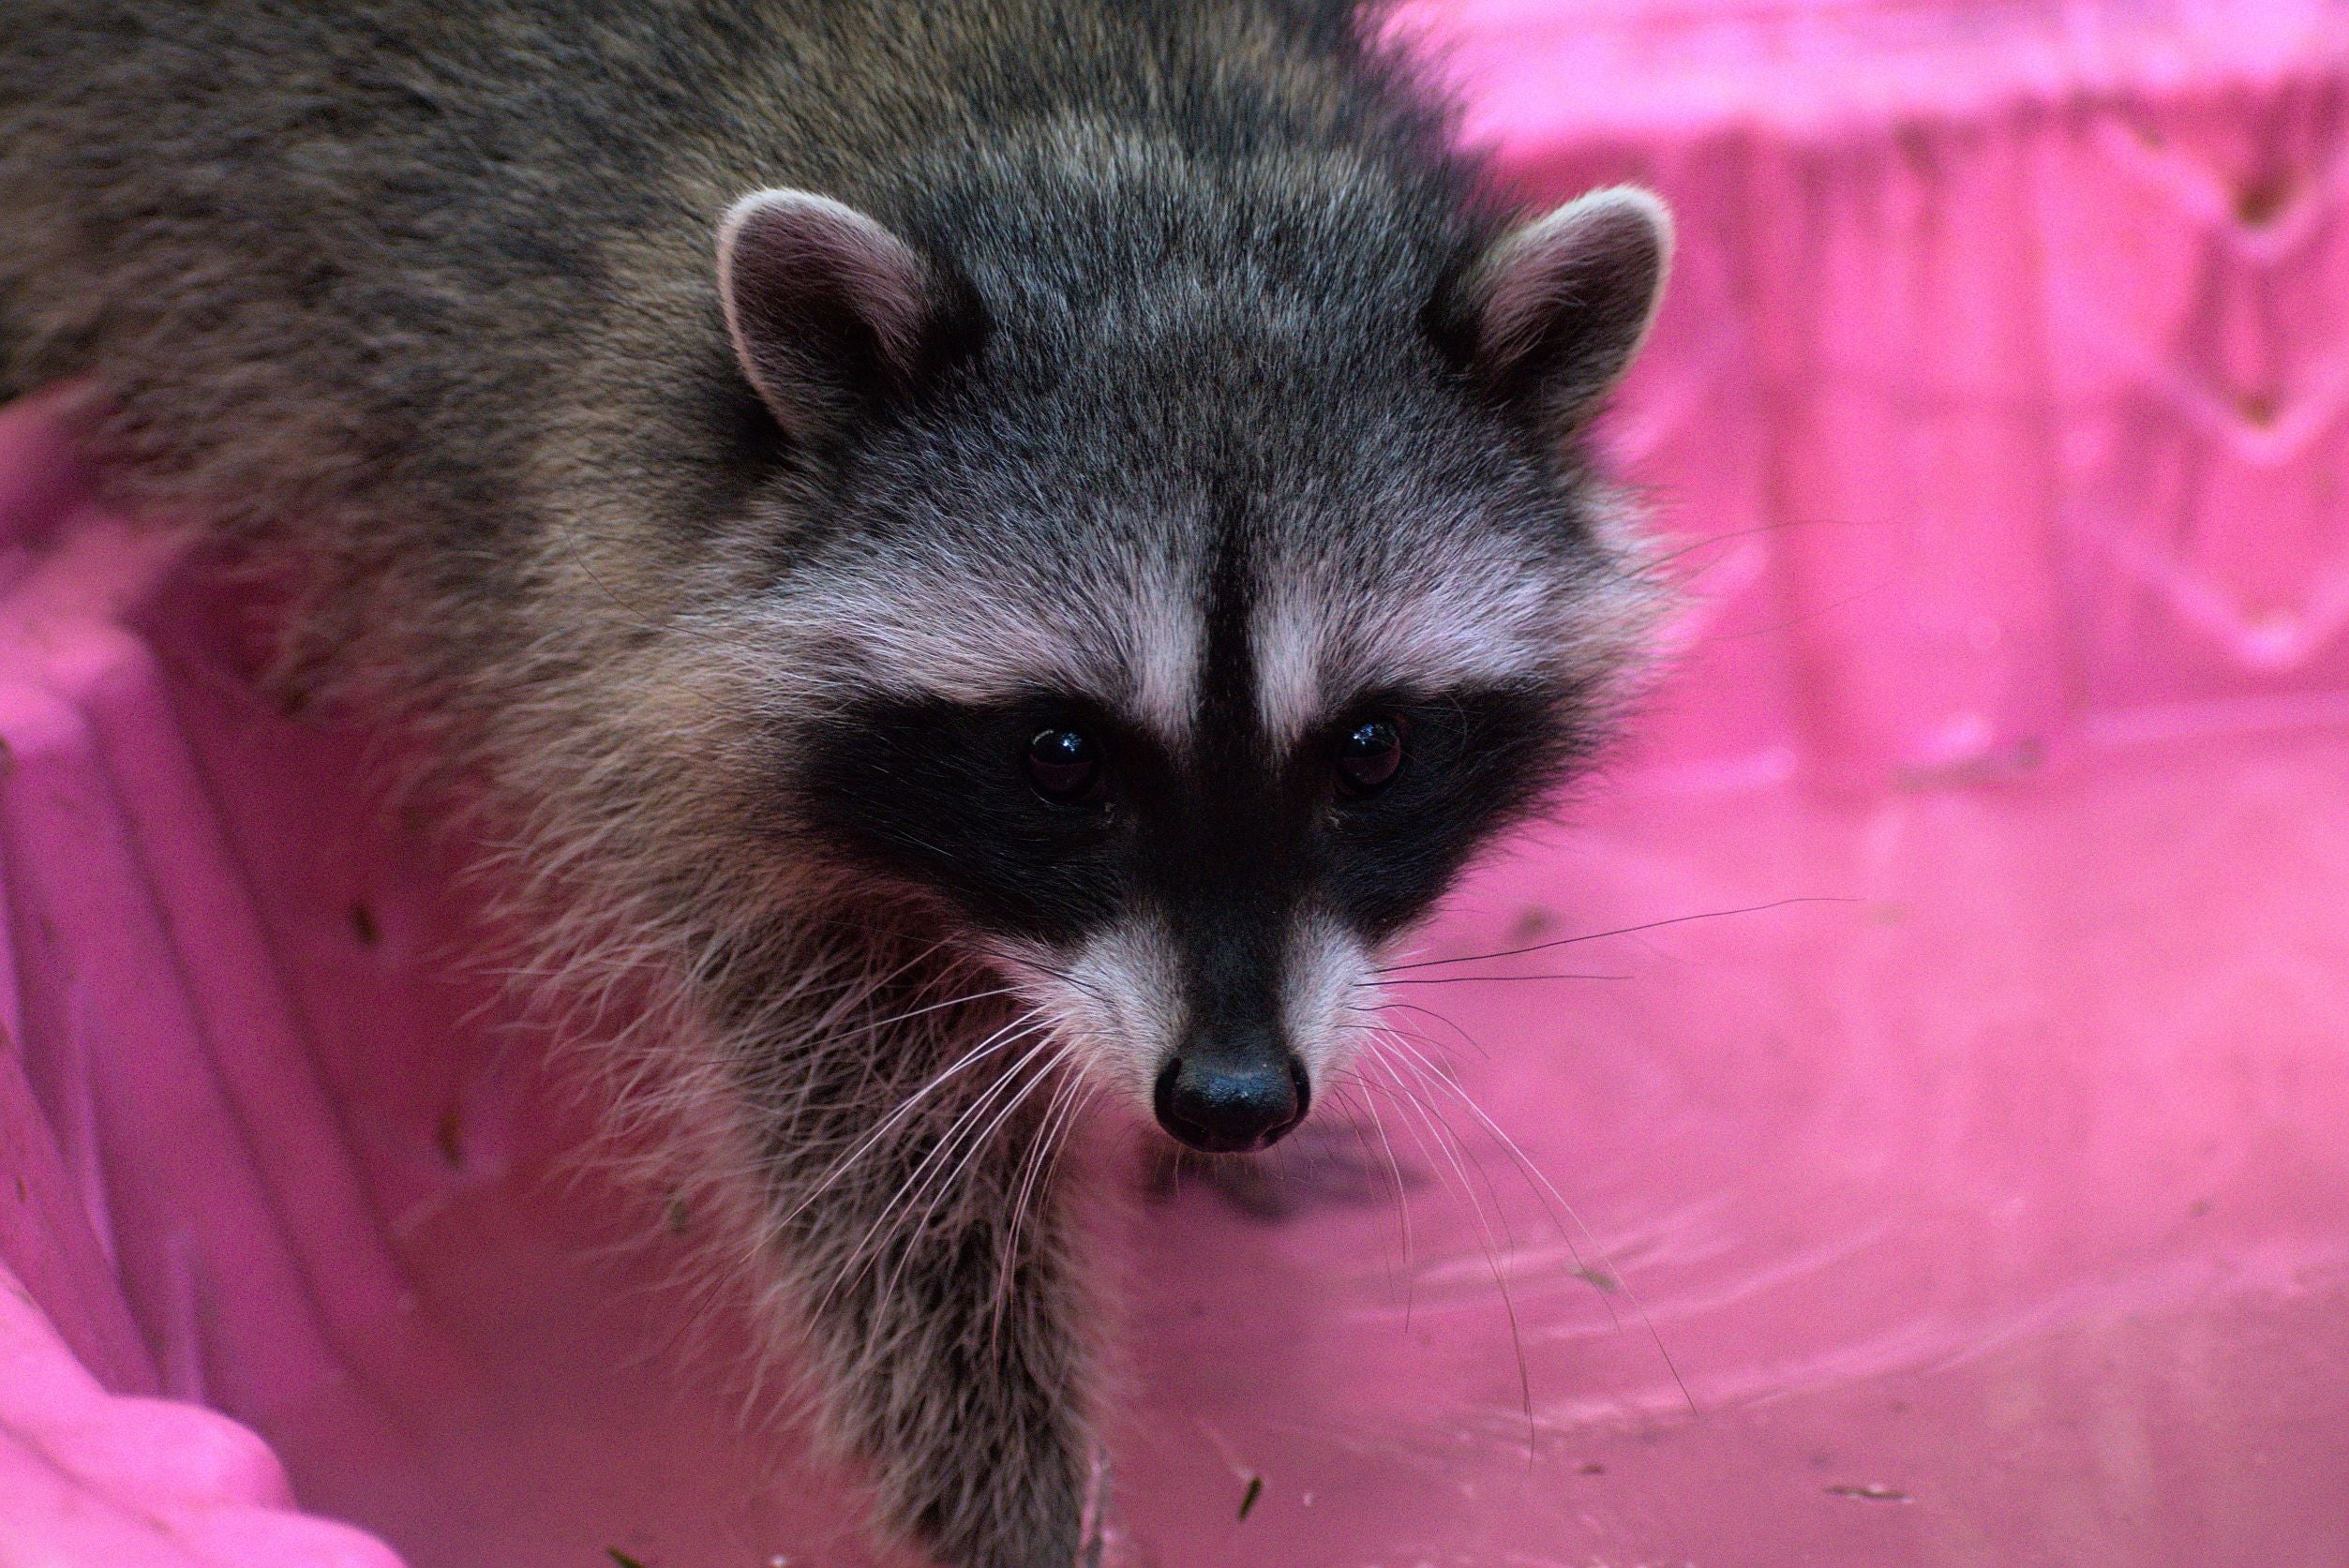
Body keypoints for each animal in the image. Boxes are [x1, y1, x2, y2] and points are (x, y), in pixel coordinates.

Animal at [0, 3, 1671, 1563]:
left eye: (1370, 748)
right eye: (1061, 758)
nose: (1231, 1099)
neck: (1138, 150)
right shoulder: (635, 670)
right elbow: (884, 1193)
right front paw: (1014, 1506)